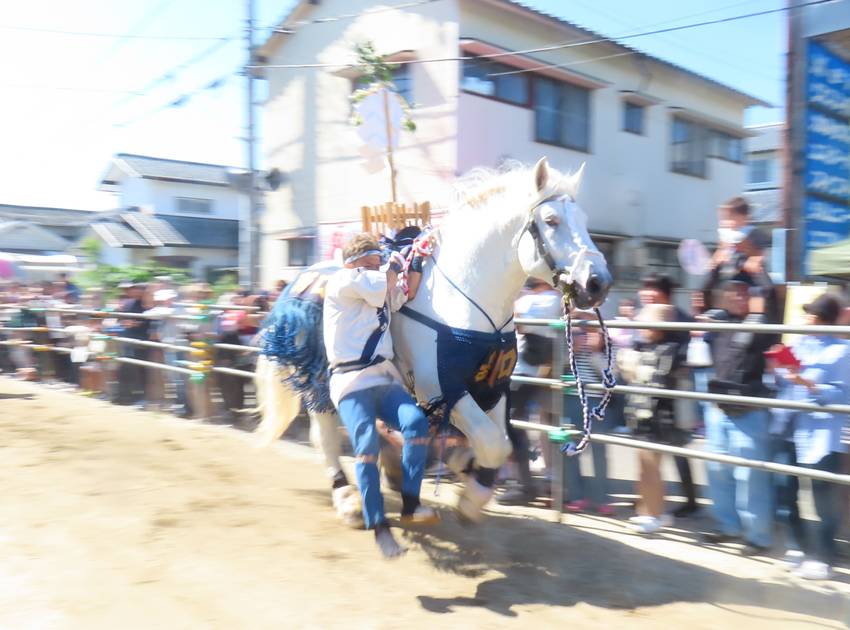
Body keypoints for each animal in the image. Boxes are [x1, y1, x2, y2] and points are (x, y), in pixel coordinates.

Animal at [252, 158, 608, 524]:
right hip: (321, 378)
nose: (598, 283)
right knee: (324, 433)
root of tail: (301, 279)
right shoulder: (440, 384)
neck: (467, 296)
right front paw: (469, 498)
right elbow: (492, 442)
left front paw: (472, 482)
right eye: (551, 221)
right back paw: (348, 498)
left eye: (584, 221)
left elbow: (499, 443)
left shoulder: (493, 385)